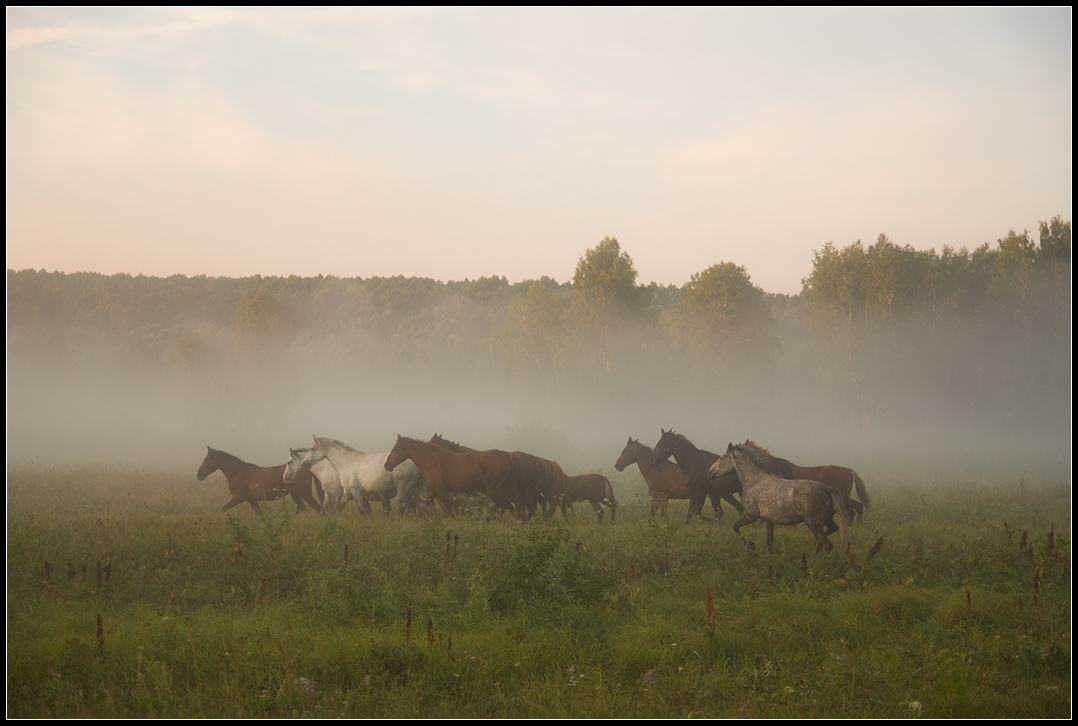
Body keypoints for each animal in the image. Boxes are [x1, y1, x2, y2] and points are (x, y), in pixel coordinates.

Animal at [286, 435, 424, 515]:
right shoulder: (346, 492)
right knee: (422, 505)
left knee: (403, 507)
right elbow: (335, 509)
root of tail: (414, 461)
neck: (346, 462)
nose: (285, 477)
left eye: (313, 449)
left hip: (403, 487)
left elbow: (361, 510)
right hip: (416, 488)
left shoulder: (351, 491)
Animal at [707, 442, 849, 556]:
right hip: (824, 520)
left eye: (722, 457)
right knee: (832, 529)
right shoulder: (769, 520)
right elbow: (769, 541)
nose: (709, 473)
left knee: (828, 544)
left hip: (813, 523)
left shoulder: (750, 516)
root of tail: (826, 488)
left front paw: (751, 545)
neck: (755, 480)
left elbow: (735, 527)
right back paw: (815, 547)